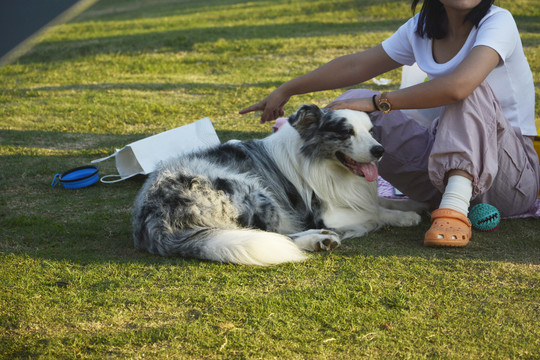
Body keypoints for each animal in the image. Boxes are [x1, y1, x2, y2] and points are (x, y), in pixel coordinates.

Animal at [132, 104, 422, 264]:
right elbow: (374, 212)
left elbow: (378, 201)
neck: (323, 163)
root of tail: (154, 217)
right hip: (253, 192)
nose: (379, 150)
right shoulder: (325, 213)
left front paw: (412, 205)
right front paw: (405, 217)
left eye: (371, 131)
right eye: (345, 132)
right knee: (274, 235)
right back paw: (318, 239)